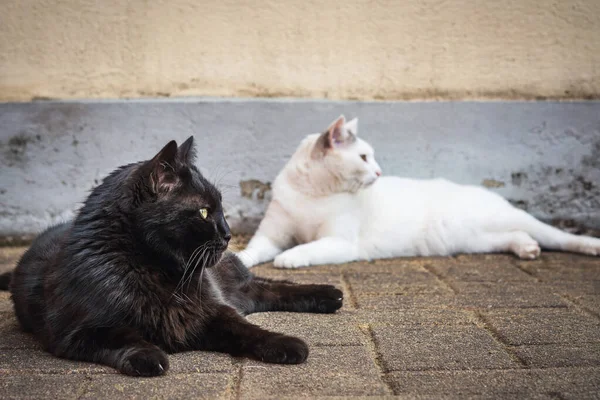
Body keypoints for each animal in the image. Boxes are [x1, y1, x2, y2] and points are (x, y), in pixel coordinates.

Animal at [0, 137, 342, 376]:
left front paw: (283, 343)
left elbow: (245, 328)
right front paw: (148, 355)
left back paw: (330, 294)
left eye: (220, 207)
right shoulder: (76, 332)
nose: (228, 233)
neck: (156, 270)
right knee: (261, 292)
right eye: (204, 211)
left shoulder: (210, 310)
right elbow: (120, 337)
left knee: (265, 286)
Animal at [238, 114, 600, 268]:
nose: (379, 172)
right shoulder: (270, 234)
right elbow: (253, 251)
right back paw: (527, 249)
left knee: (557, 235)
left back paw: (589, 246)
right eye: (364, 157)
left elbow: (304, 248)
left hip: (503, 219)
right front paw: (240, 263)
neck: (312, 194)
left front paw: (288, 258)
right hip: (476, 239)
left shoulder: (340, 242)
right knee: (514, 237)